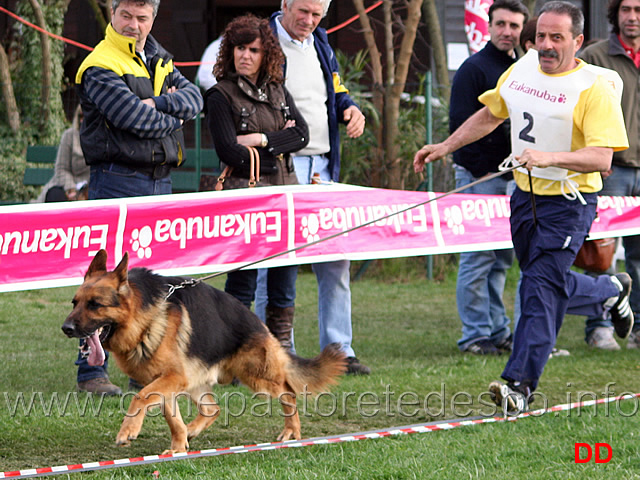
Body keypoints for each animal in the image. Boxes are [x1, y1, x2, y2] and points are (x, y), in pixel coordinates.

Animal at [62, 251, 348, 454]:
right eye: (75, 303)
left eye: (95, 304)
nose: (66, 328)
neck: (142, 320)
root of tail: (259, 324)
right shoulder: (165, 382)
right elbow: (172, 418)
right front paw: (178, 448)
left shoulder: (171, 378)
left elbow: (140, 398)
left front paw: (128, 431)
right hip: (195, 383)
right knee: (213, 409)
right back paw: (191, 432)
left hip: (257, 378)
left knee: (289, 393)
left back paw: (292, 432)